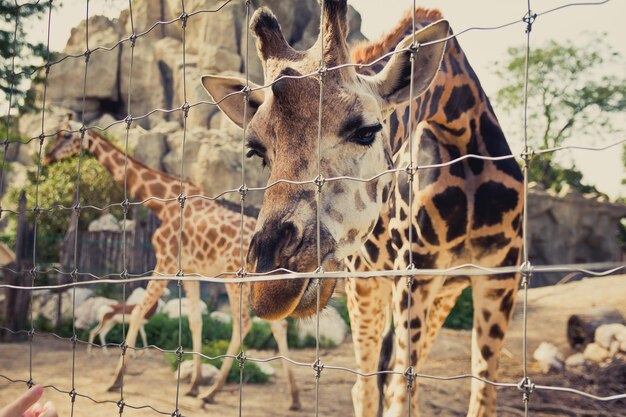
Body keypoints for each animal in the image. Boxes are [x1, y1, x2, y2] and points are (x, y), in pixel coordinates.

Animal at [42, 118, 302, 408]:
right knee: (277, 323)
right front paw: (193, 384)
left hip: (234, 278)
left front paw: (116, 379)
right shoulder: (189, 271)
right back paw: (293, 398)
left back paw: (213, 392)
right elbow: (195, 322)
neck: (163, 204)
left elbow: (137, 311)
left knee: (243, 322)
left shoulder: (165, 262)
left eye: (66, 135)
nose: (46, 157)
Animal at [204, 1, 520, 414]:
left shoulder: (498, 277)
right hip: (367, 284)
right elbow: (395, 393)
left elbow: (478, 397)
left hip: (438, 290)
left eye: (366, 131)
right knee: (367, 387)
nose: (271, 287)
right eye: (257, 153)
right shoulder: (409, 277)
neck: (460, 140)